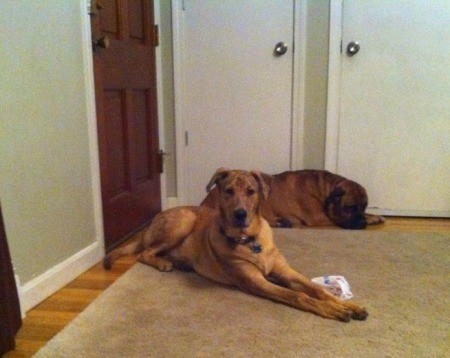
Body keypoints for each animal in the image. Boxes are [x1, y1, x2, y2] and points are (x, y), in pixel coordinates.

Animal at [202, 169, 384, 229]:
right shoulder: (318, 217)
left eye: (364, 206)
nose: (362, 223)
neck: (325, 189)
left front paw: (373, 217)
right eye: (349, 207)